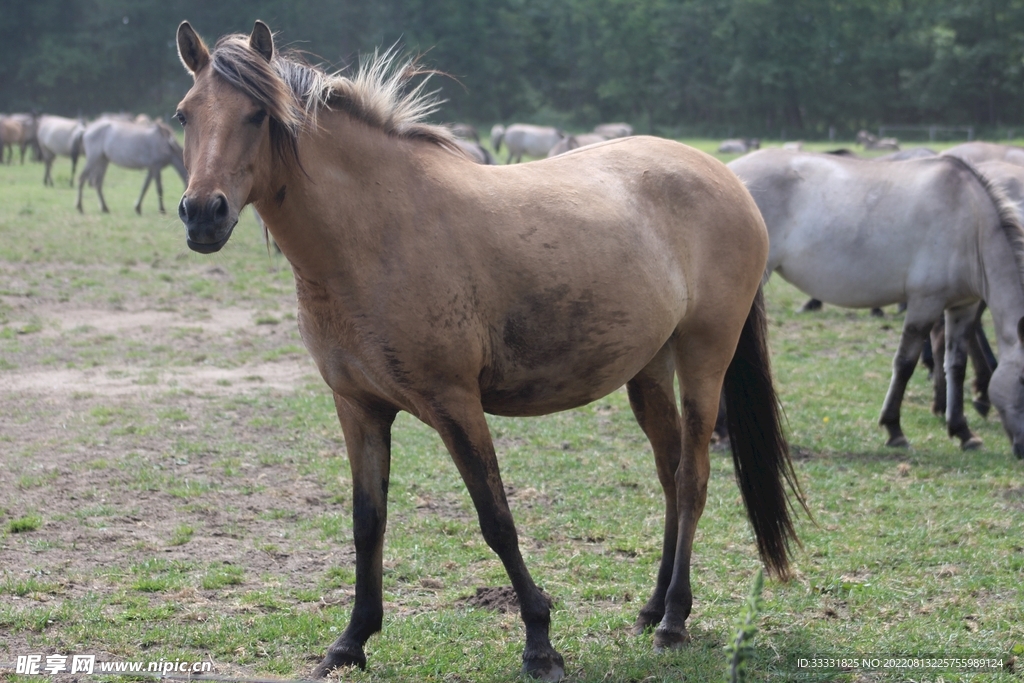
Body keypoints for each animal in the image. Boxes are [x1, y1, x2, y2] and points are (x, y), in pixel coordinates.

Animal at [174, 20, 805, 681]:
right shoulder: (358, 407)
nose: (202, 213)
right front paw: (350, 642)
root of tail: (727, 178)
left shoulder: (455, 404)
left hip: (704, 357)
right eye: (183, 114)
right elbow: (367, 523)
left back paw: (675, 620)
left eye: (256, 114)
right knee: (669, 474)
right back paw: (652, 607)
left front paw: (540, 640)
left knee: (693, 479)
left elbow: (496, 519)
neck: (375, 234)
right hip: (649, 369)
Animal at [729, 148, 1024, 456]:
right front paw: (894, 429)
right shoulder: (925, 302)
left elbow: (956, 364)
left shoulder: (962, 306)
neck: (971, 222)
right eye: (1023, 380)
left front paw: (962, 431)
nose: (1023, 448)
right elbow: (905, 363)